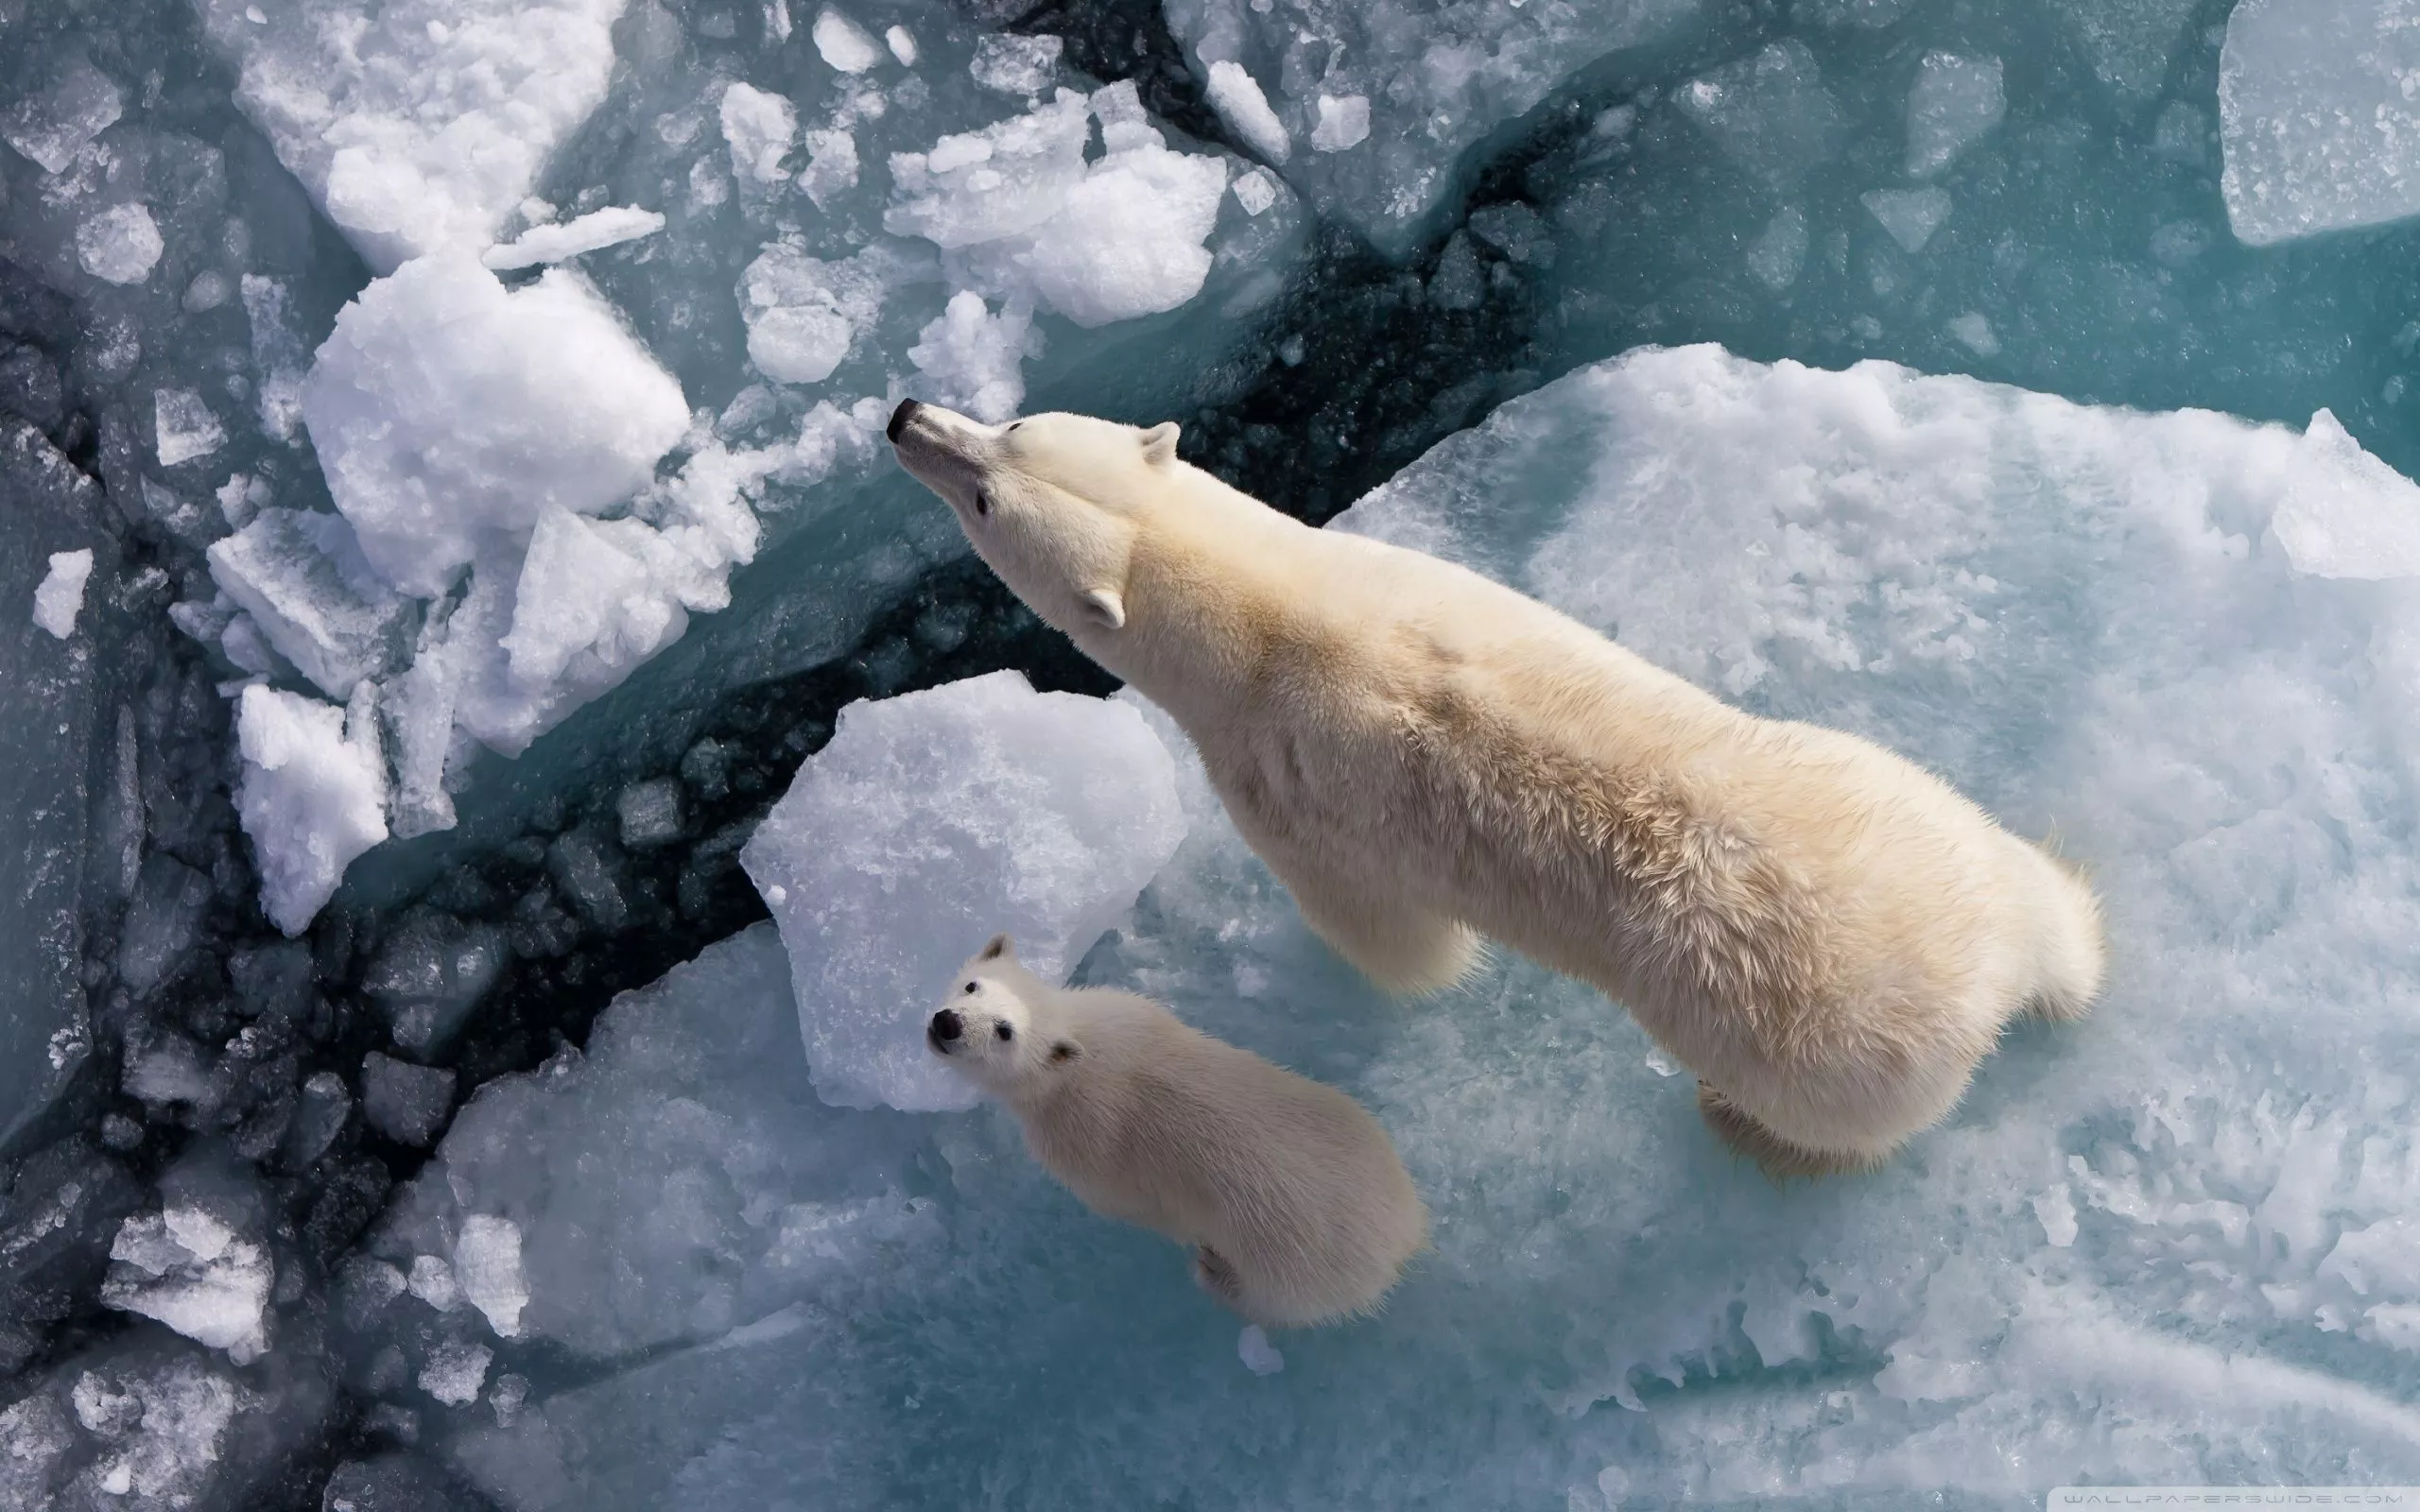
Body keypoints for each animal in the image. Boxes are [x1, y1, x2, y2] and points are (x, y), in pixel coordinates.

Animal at [887, 398, 2107, 1176]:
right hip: (1907, 803)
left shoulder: (1280, 784)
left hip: (1814, 1045)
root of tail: (1983, 976)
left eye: (988, 489)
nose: (904, 415)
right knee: (2036, 890)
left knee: (1831, 1121)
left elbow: (1387, 937)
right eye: (1014, 429)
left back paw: (1736, 1123)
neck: (1269, 614)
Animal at [927, 934, 1428, 1328]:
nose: (947, 1023)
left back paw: (1212, 1272)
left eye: (1004, 1031)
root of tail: (1405, 1233)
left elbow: (1126, 1203)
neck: (1082, 1051)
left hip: (1293, 1264)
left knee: (1272, 1300)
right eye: (973, 985)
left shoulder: (1083, 1144)